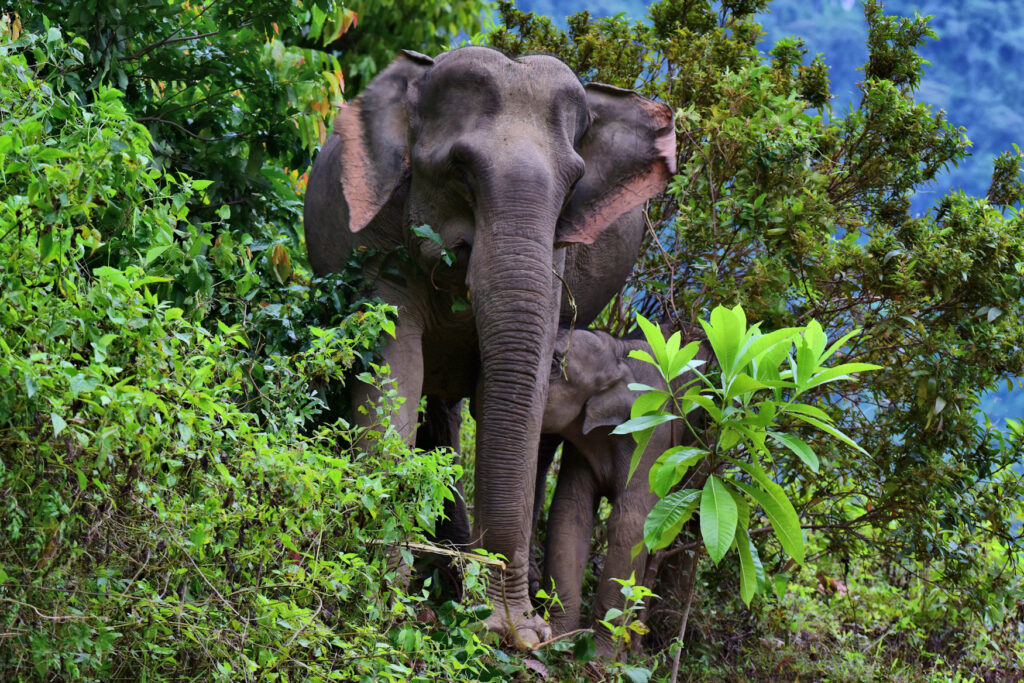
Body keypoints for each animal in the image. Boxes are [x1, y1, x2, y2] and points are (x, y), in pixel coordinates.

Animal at [302, 45, 676, 646]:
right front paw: (380, 603)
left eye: (574, 182)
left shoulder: (557, 259)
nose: (510, 630)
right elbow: (394, 370)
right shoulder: (381, 240)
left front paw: (513, 631)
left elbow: (520, 397)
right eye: (459, 169)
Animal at [539, 326, 709, 655]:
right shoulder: (581, 444)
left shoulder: (651, 432)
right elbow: (571, 511)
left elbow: (631, 522)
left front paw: (600, 655)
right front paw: (558, 638)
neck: (619, 354)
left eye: (555, 364)